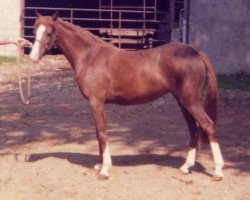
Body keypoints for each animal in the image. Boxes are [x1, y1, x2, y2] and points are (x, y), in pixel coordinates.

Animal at [29, 13, 225, 180]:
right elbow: (97, 133)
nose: (32, 57)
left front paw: (105, 169)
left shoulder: (96, 102)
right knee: (193, 129)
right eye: (34, 30)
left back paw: (218, 170)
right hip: (183, 102)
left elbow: (102, 133)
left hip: (190, 101)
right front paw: (99, 164)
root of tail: (196, 53)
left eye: (49, 32)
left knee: (208, 125)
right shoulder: (95, 104)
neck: (90, 56)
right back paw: (186, 166)